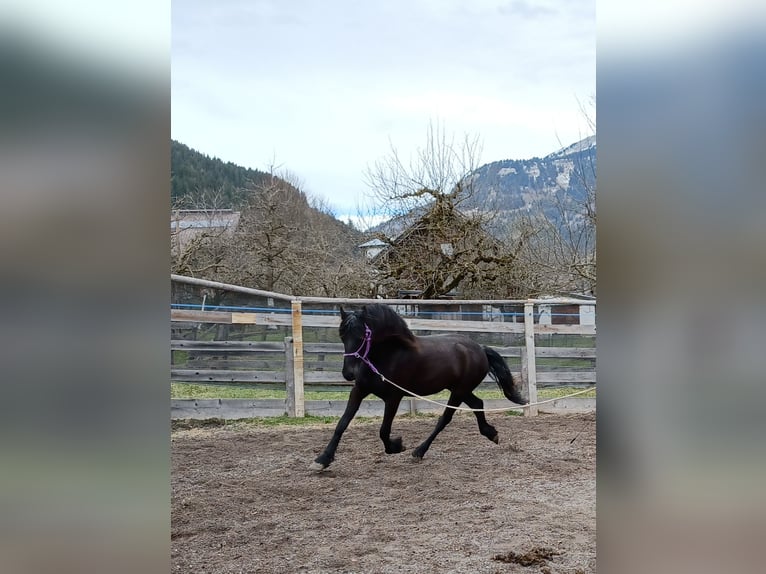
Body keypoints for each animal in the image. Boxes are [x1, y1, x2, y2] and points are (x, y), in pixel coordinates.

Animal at [312, 306, 528, 472]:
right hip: (460, 389)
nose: (348, 373)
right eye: (342, 335)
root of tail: (480, 349)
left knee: (445, 418)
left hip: (458, 391)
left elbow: (383, 430)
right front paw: (322, 460)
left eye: (361, 336)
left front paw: (397, 446)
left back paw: (419, 451)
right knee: (477, 403)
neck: (389, 354)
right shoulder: (359, 391)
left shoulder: (393, 397)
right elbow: (342, 424)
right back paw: (492, 433)